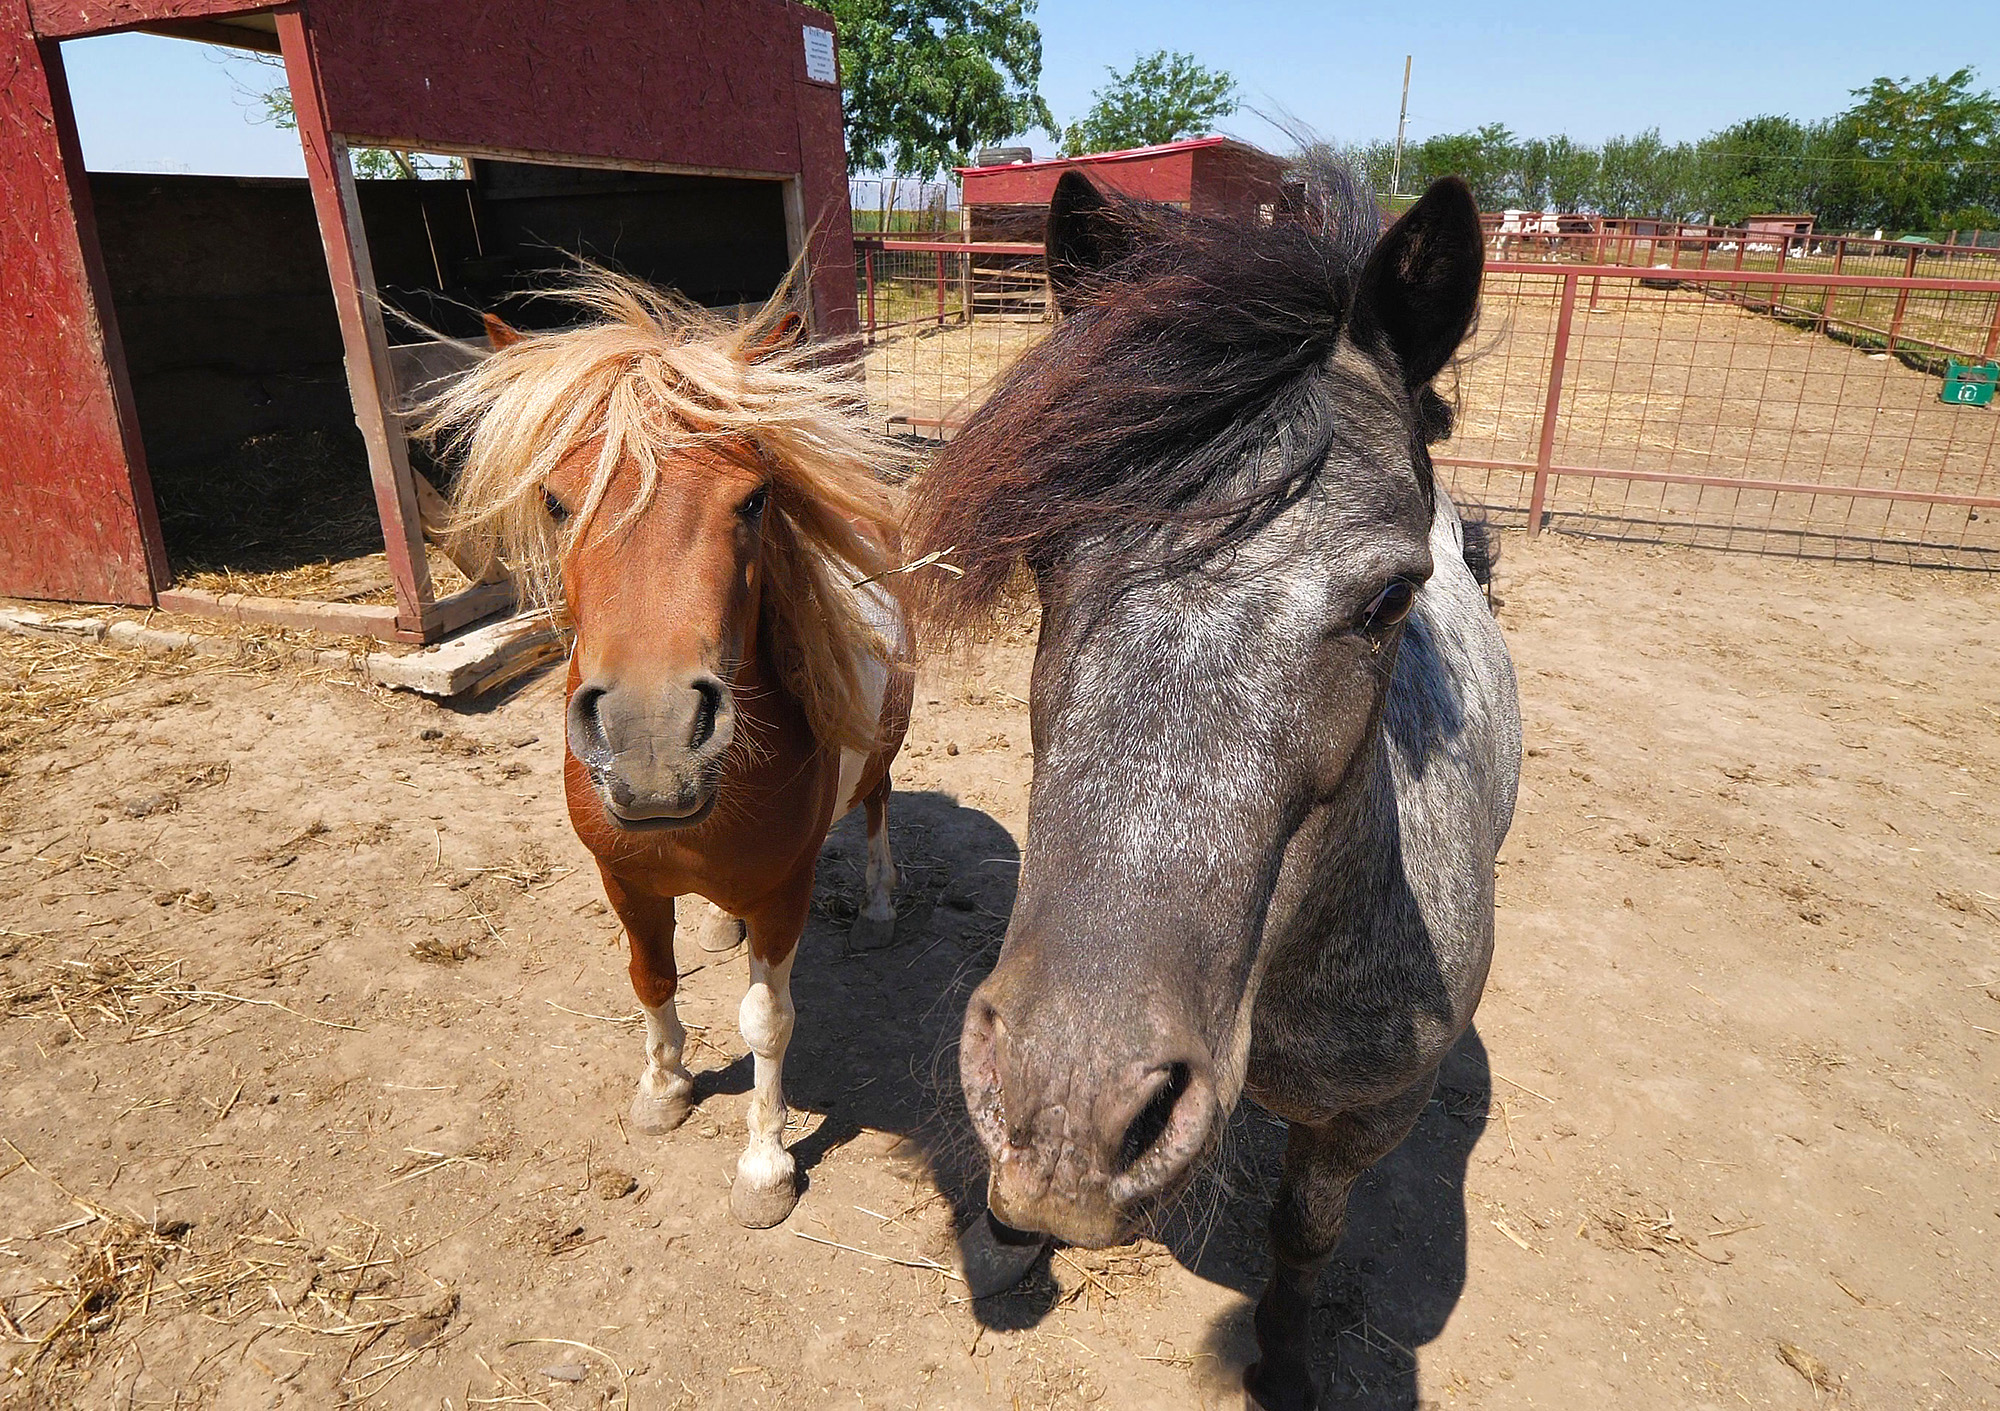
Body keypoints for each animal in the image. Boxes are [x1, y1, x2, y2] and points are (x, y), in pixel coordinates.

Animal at [434, 275, 916, 1223]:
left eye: (755, 499)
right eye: (557, 501)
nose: (652, 744)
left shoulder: (785, 890)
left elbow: (767, 1020)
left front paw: (764, 1166)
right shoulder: (624, 880)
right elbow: (650, 980)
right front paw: (662, 1089)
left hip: (881, 751)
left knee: (877, 809)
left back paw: (878, 908)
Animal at [916, 167, 1520, 1407]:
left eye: (1391, 599)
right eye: (1043, 554)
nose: (1068, 1106)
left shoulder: (1365, 1121)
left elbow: (1303, 1234)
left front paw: (1283, 1363)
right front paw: (1006, 1237)